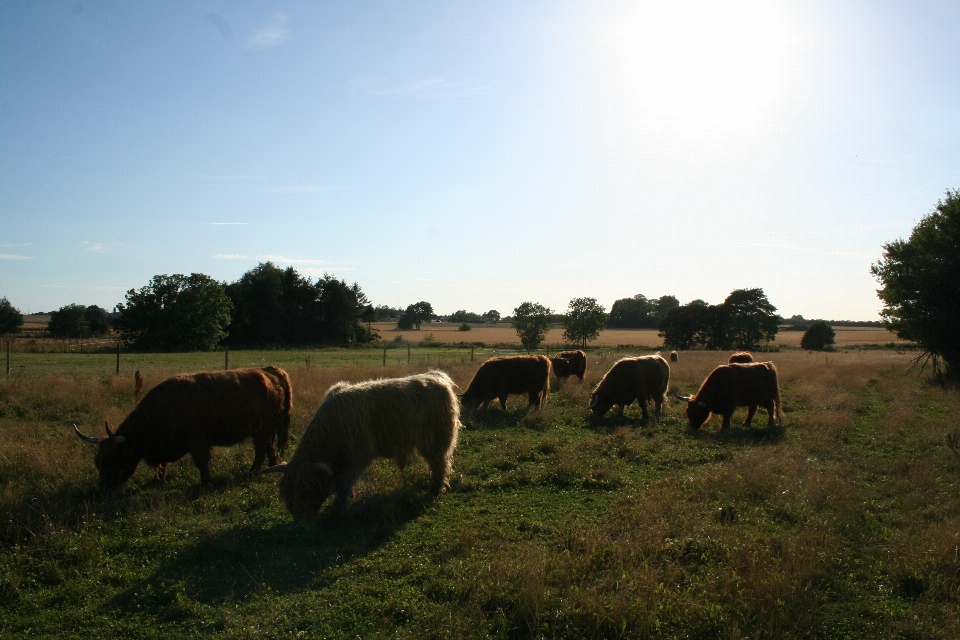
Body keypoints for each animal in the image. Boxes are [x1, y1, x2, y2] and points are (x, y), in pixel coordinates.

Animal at [74, 368, 292, 488]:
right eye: (97, 461)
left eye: (113, 459)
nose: (103, 487)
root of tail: (270, 371)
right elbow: (163, 464)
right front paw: (158, 479)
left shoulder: (197, 443)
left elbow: (201, 463)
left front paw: (206, 483)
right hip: (265, 430)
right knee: (269, 448)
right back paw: (270, 467)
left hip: (263, 429)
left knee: (261, 450)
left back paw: (252, 471)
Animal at [258, 370, 462, 520]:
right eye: (288, 495)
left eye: (307, 491)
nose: (302, 519)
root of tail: (437, 376)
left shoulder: (356, 457)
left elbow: (343, 482)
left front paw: (339, 509)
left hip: (436, 440)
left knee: (440, 463)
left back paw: (436, 489)